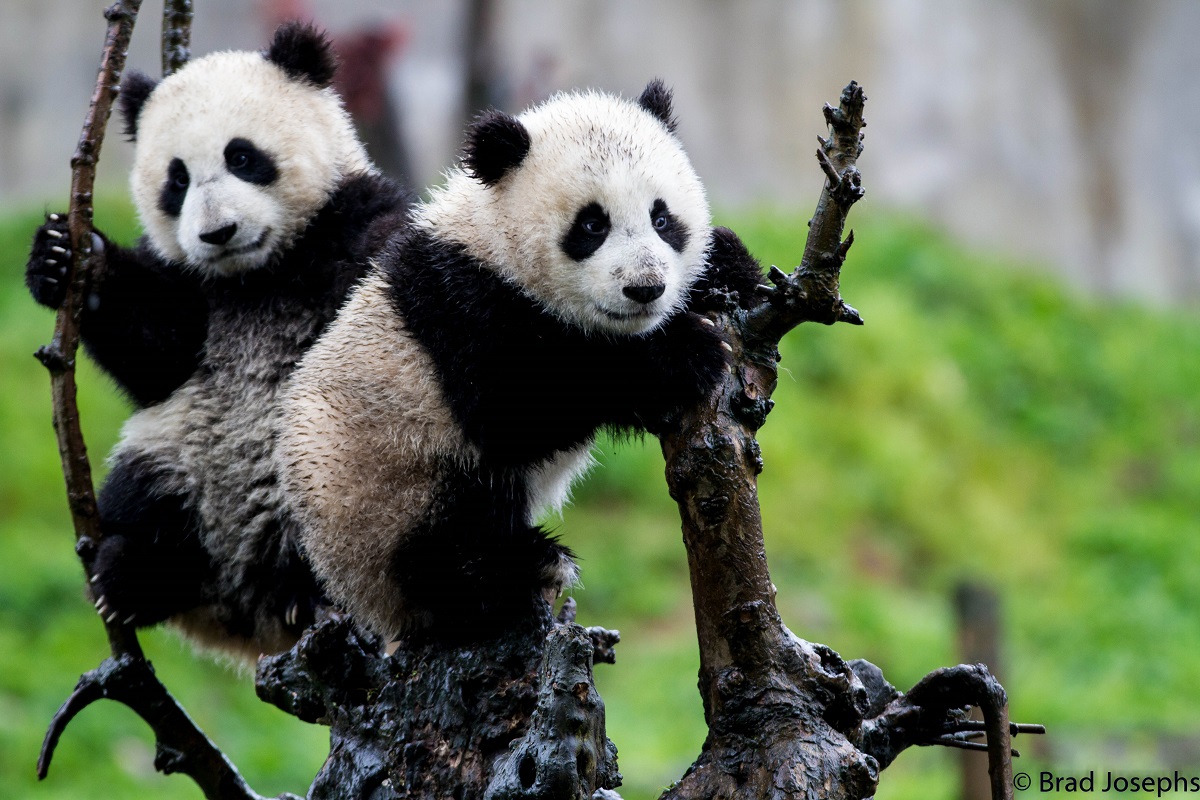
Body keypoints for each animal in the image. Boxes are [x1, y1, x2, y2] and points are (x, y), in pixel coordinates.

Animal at [24, 22, 411, 661]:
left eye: (243, 157)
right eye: (176, 180)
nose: (217, 233)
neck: (258, 276)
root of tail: (249, 615)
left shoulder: (350, 225)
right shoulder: (191, 287)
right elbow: (158, 352)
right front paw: (64, 258)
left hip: (323, 478)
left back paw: (308, 590)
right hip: (180, 453)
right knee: (150, 493)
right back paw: (133, 575)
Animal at [278, 81, 763, 642]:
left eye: (661, 218)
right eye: (592, 225)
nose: (645, 288)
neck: (494, 241)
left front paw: (725, 266)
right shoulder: (463, 307)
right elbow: (518, 407)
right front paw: (685, 354)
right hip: (380, 488)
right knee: (449, 537)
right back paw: (521, 567)